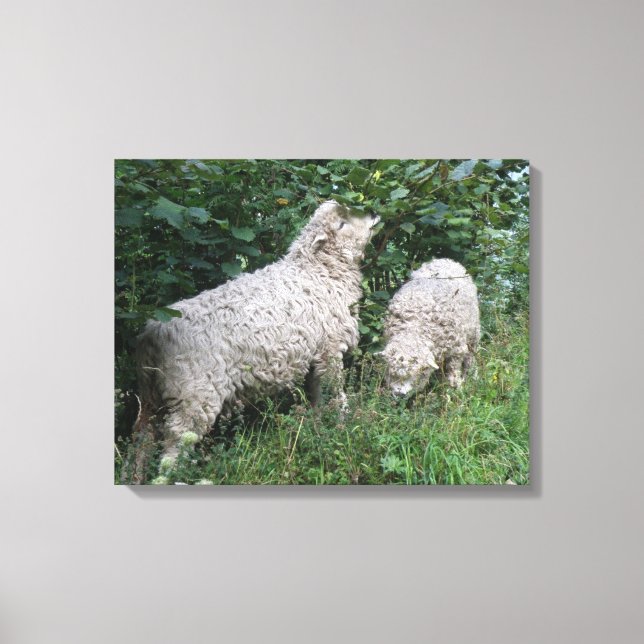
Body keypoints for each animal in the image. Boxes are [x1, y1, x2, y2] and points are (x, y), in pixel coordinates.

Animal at [131, 200, 379, 479]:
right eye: (341, 224)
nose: (373, 213)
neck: (318, 270)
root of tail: (151, 334)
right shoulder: (330, 349)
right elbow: (335, 392)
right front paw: (344, 422)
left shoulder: (316, 354)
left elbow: (316, 394)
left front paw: (318, 426)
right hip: (193, 394)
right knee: (175, 440)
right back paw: (173, 476)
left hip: (151, 397)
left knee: (142, 437)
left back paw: (134, 474)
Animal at [382, 258, 480, 396]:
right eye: (392, 372)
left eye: (416, 373)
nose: (400, 394)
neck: (414, 328)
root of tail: (444, 260)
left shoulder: (456, 350)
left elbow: (453, 372)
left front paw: (455, 389)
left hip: (473, 333)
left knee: (470, 357)